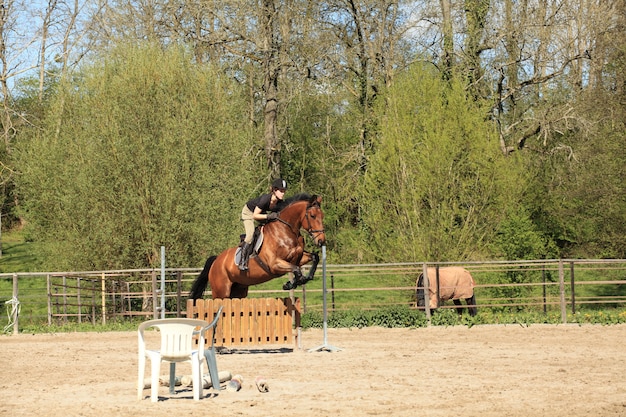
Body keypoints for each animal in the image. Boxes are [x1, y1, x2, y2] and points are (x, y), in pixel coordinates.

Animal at [188, 193, 324, 298]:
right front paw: (292, 283)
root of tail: (216, 261)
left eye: (322, 216)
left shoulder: (297, 257)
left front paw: (299, 281)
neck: (286, 230)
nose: (321, 241)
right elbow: (296, 269)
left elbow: (313, 258)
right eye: (312, 216)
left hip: (238, 291)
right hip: (220, 292)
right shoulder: (274, 264)